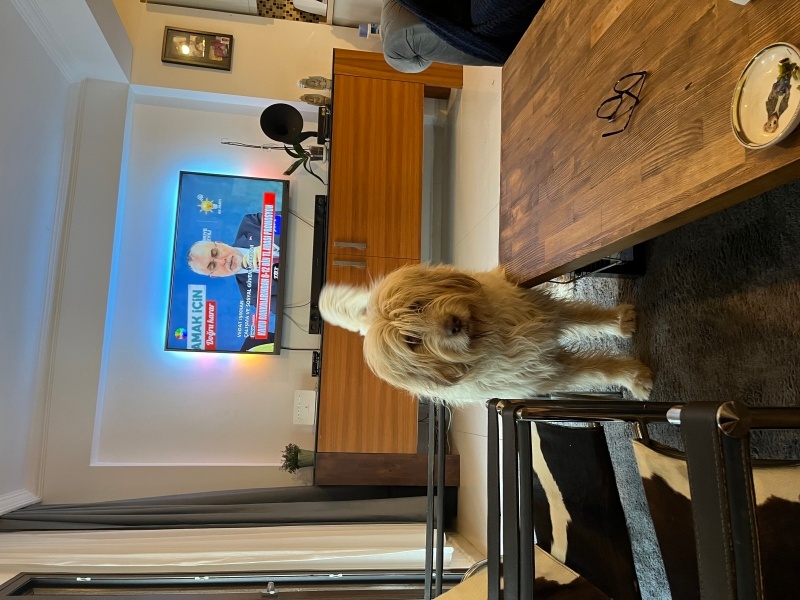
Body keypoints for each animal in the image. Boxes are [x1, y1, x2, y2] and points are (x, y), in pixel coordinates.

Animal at [318, 264, 648, 406]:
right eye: (412, 343)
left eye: (417, 305)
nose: (452, 325)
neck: (489, 335)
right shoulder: (552, 374)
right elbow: (599, 371)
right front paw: (634, 379)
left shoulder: (548, 314)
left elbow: (586, 317)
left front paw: (619, 323)